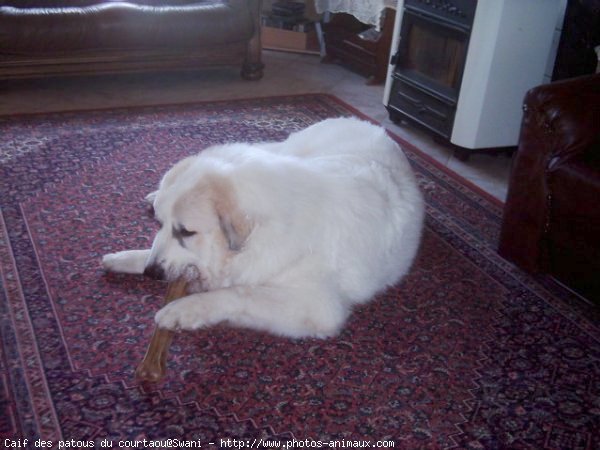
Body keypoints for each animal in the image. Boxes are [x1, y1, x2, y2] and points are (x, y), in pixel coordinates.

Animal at [101, 118, 424, 340]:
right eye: (160, 224)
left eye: (186, 232)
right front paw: (127, 258)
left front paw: (185, 308)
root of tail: (368, 124)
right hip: (289, 149)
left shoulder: (316, 307)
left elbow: (239, 293)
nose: (150, 273)